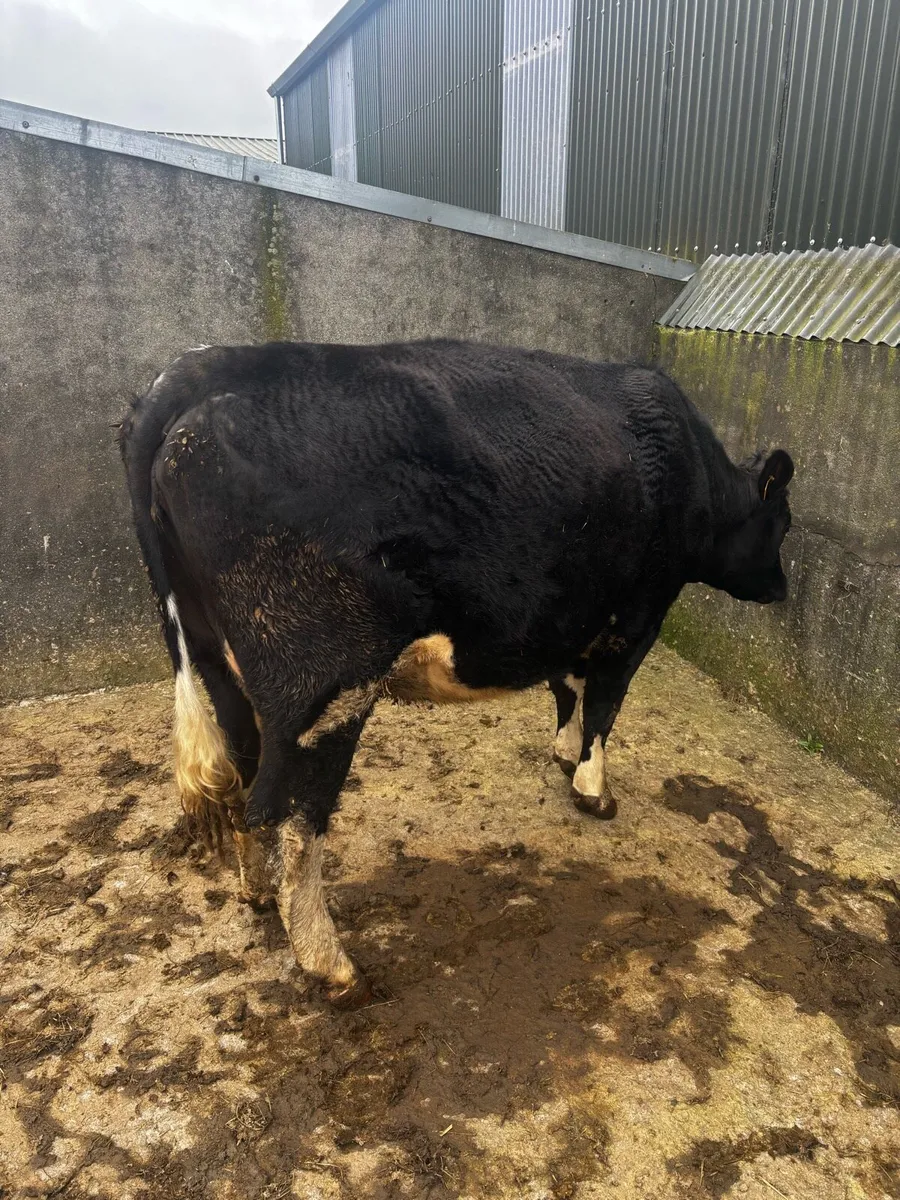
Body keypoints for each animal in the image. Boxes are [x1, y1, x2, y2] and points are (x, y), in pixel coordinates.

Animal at [120, 338, 794, 1006]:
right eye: (781, 523)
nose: (782, 589)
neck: (693, 468)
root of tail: (187, 374)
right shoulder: (635, 619)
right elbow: (605, 705)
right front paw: (594, 792)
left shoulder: (567, 618)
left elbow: (567, 690)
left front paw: (563, 755)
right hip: (322, 682)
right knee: (285, 816)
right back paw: (335, 969)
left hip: (221, 668)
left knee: (240, 782)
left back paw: (256, 894)